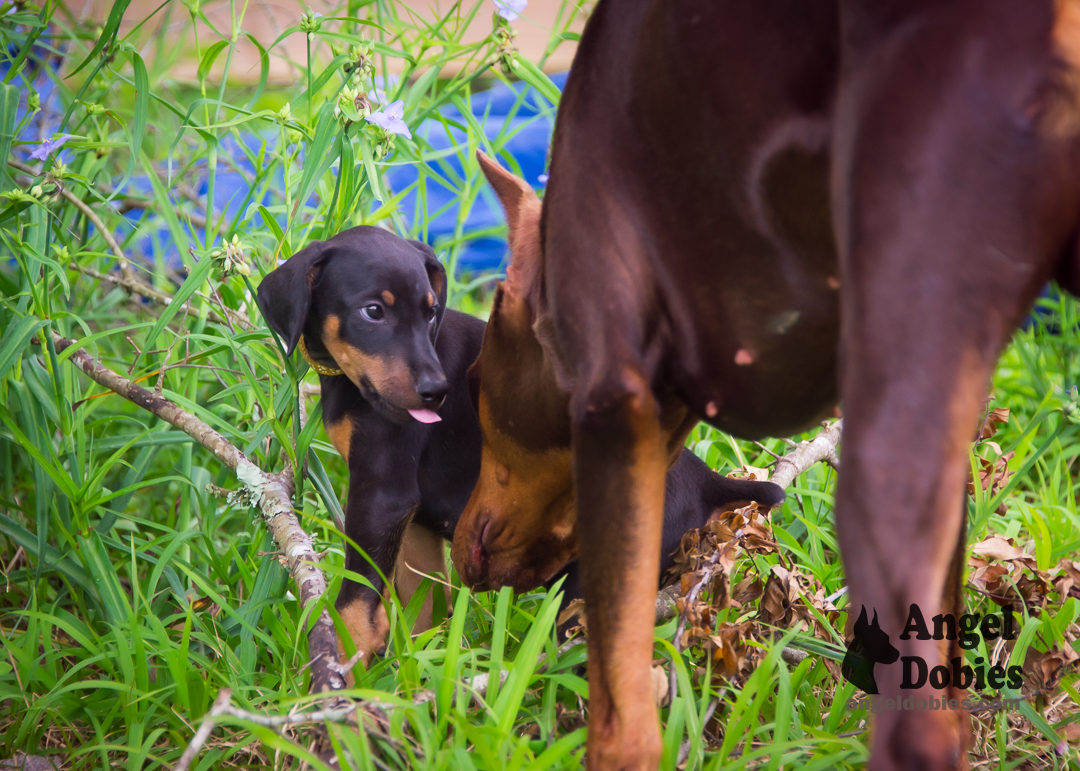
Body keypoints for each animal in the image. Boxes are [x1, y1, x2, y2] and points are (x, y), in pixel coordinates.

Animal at [257, 222, 786, 665]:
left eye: (431, 313)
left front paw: (341, 675)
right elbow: (426, 605)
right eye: (373, 312)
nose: (436, 391)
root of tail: (709, 483)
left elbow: (357, 601)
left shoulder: (383, 495)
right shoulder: (413, 519)